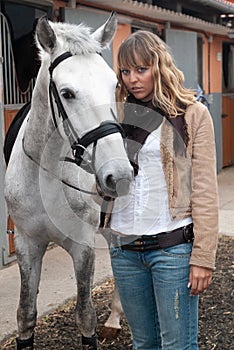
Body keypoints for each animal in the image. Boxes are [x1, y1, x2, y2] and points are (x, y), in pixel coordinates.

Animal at [4, 12, 132, 348]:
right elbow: (25, 314)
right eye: (67, 93)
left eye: (113, 84)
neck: (46, 174)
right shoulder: (27, 243)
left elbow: (85, 315)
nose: (119, 175)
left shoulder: (82, 246)